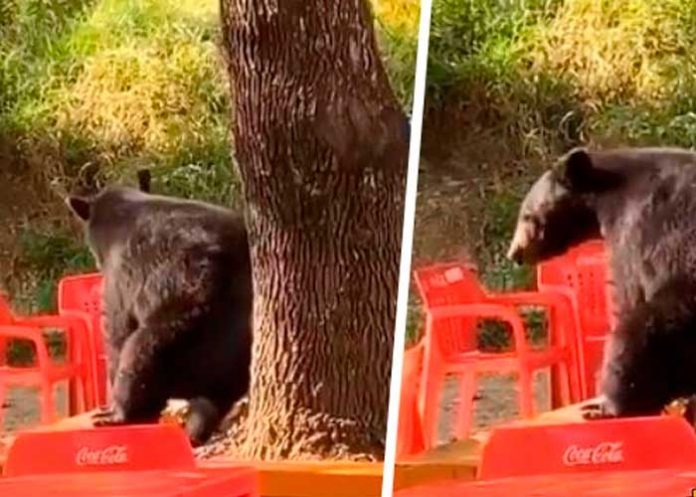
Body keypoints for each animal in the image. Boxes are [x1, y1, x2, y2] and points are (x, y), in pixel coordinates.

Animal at [66, 173, 252, 446]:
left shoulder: (121, 276)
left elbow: (117, 329)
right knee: (213, 399)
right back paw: (194, 431)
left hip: (181, 319)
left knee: (139, 352)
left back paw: (120, 415)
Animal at [506, 146, 696, 418]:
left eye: (527, 215)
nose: (515, 254)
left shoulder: (637, 231)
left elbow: (627, 293)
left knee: (637, 334)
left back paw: (607, 405)